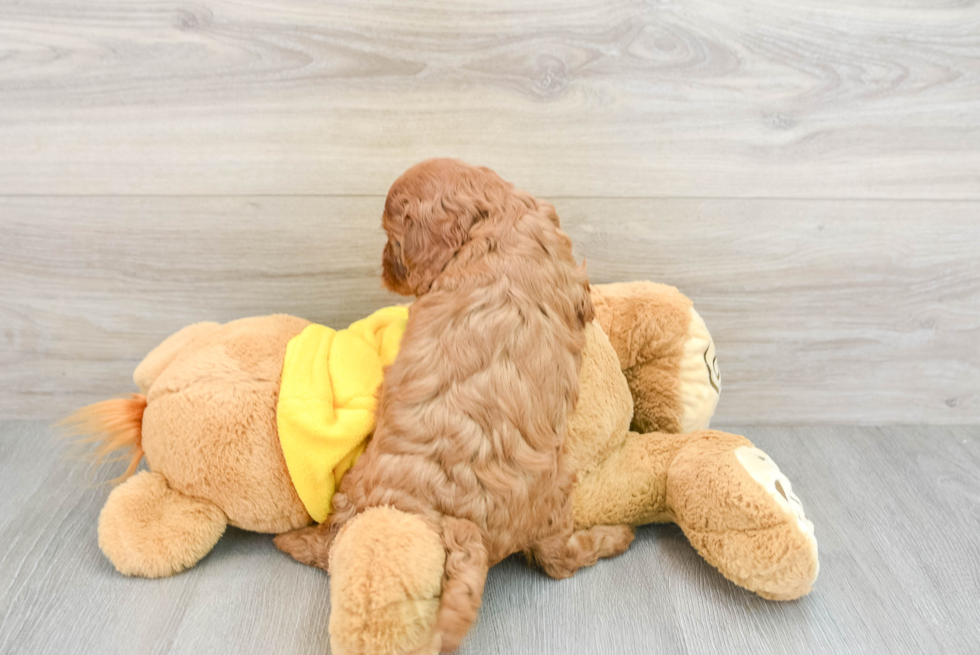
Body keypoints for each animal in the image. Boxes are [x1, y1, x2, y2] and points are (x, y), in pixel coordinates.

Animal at [276, 159, 632, 652]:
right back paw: (616, 537)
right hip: (558, 490)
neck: (494, 217)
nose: (384, 270)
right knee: (559, 560)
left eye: (393, 238)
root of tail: (462, 524)